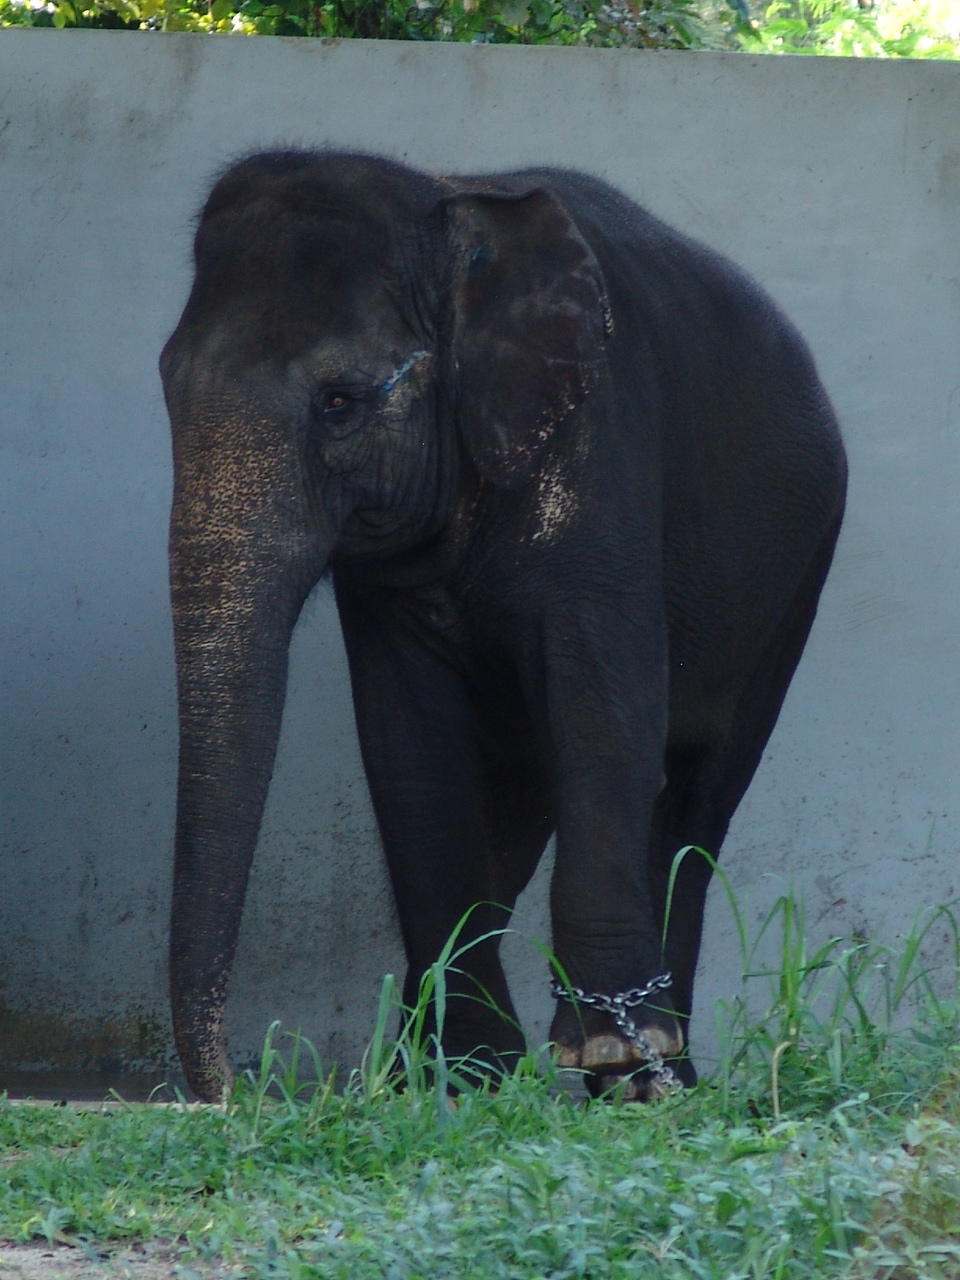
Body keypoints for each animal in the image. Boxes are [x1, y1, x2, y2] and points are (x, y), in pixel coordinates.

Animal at [161, 150, 847, 1104]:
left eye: (339, 401)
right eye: (165, 387)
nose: (241, 1082)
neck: (444, 202)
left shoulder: (602, 447)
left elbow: (605, 713)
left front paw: (609, 1058)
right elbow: (412, 749)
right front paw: (462, 1077)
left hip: (794, 579)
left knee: (697, 800)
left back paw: (659, 1078)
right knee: (518, 810)